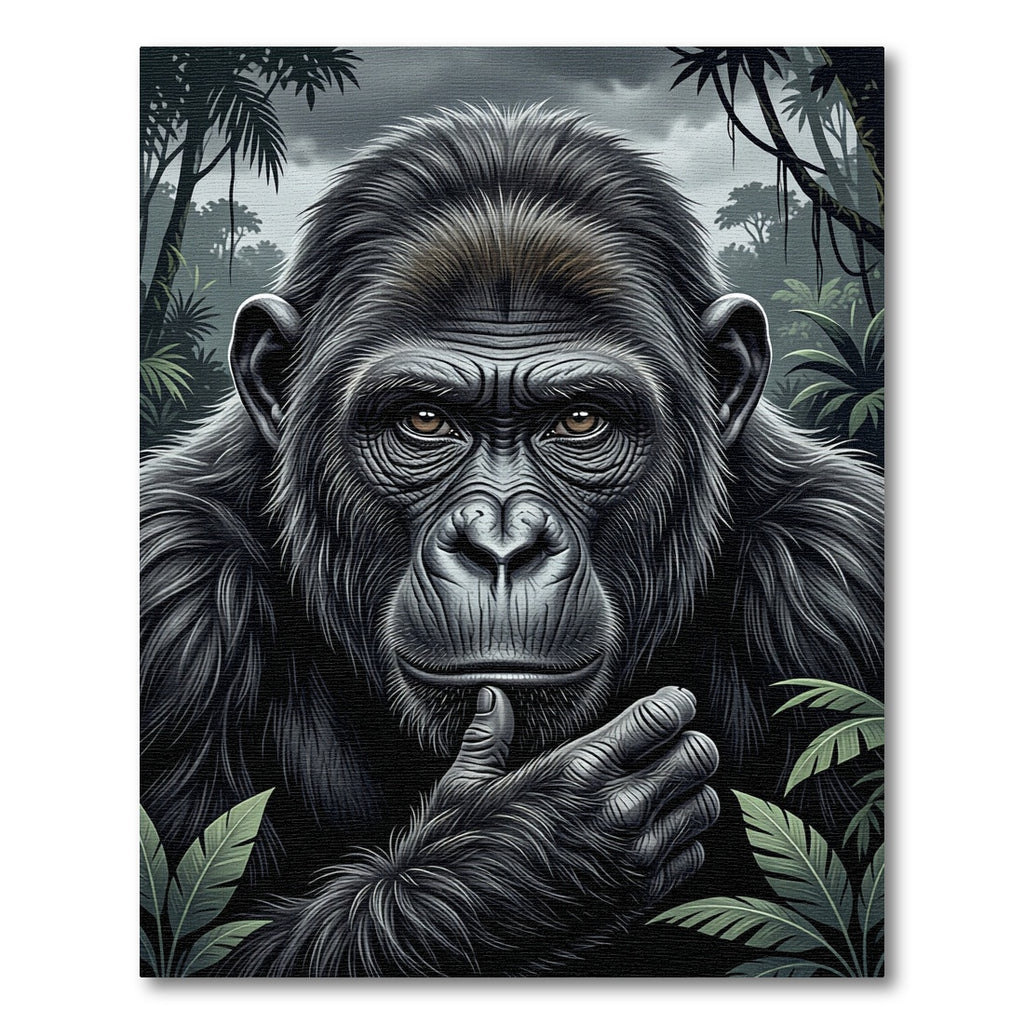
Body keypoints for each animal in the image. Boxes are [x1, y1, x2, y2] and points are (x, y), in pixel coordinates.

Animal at [140, 103, 883, 976]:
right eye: (425, 420)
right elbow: (193, 945)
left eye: (581, 420)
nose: (501, 547)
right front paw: (526, 855)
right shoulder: (174, 598)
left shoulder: (837, 579)